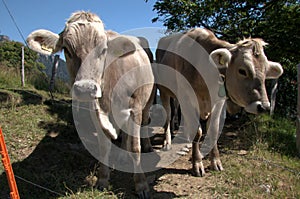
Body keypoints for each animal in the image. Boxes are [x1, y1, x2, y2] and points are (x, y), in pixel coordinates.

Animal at [26, 11, 154, 198]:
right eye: (66, 49)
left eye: (104, 50)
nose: (85, 89)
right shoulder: (97, 112)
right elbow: (104, 147)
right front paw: (102, 180)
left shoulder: (135, 108)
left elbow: (135, 147)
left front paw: (141, 185)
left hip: (148, 100)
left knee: (142, 125)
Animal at [156, 27, 282, 176]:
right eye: (242, 71)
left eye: (266, 71)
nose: (264, 106)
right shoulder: (187, 97)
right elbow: (198, 132)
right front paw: (197, 164)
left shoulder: (218, 101)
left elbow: (213, 130)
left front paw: (215, 161)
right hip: (164, 91)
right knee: (168, 115)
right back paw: (167, 142)